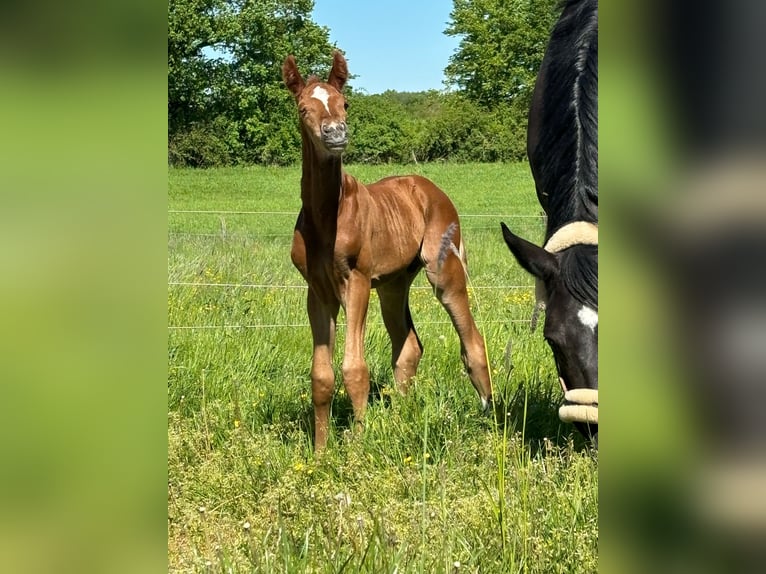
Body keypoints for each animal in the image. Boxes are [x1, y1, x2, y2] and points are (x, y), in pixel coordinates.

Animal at [282, 51, 492, 452]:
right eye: (303, 108)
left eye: (344, 103)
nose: (336, 134)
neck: (327, 218)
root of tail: (428, 187)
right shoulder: (317, 291)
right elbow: (321, 375)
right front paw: (320, 452)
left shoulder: (357, 281)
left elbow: (354, 368)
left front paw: (359, 448)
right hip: (394, 284)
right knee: (409, 347)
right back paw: (402, 417)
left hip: (443, 272)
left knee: (472, 339)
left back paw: (490, 418)